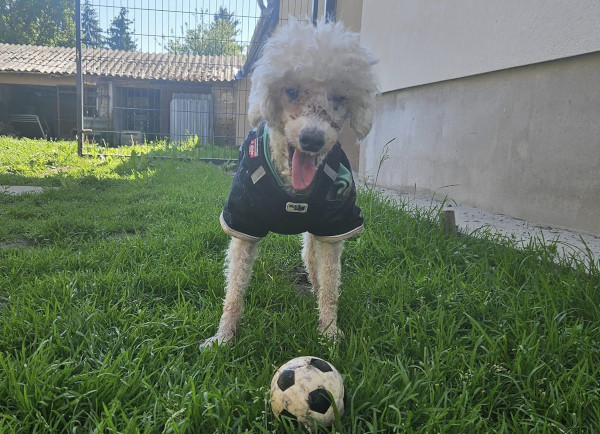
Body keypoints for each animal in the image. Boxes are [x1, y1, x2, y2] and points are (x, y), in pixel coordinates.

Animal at [200, 19, 377, 348]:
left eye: (340, 97)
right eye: (291, 90)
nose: (312, 139)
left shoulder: (336, 223)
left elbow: (331, 283)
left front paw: (329, 330)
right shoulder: (241, 219)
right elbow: (234, 287)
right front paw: (224, 336)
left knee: (312, 261)